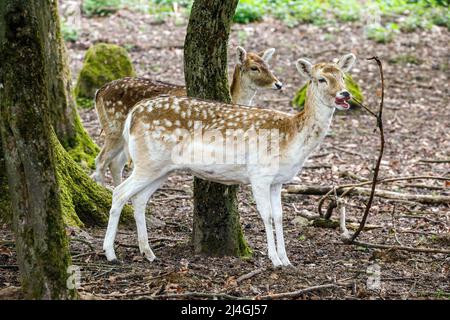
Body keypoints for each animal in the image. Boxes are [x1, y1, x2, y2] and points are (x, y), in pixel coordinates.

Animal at [91, 47, 282, 188]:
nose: (278, 84)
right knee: (100, 160)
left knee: (115, 164)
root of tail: (99, 92)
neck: (233, 98)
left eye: (267, 65)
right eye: (254, 67)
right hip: (114, 127)